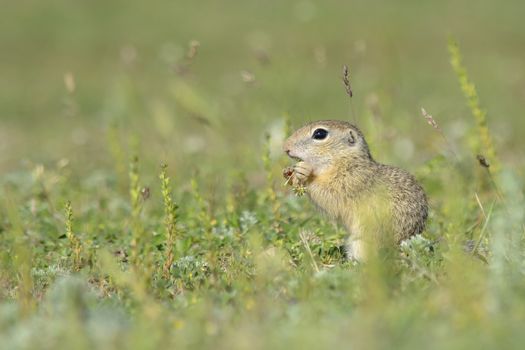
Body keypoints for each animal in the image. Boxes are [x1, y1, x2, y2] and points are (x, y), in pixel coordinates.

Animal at [284, 120, 428, 260]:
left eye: (319, 134)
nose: (285, 147)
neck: (345, 161)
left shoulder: (350, 183)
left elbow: (329, 196)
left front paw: (304, 171)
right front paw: (290, 175)